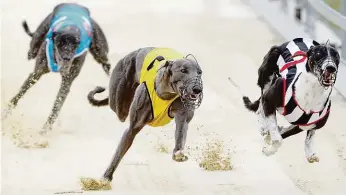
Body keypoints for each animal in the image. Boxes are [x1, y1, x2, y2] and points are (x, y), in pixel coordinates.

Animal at [2, 2, 110, 133]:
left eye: (76, 44)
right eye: (60, 42)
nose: (66, 58)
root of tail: (75, 4)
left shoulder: (67, 82)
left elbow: (57, 106)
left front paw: (44, 130)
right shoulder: (36, 74)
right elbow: (20, 93)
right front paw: (6, 113)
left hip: (100, 51)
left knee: (106, 64)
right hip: (35, 45)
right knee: (31, 52)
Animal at [88, 46, 204, 181]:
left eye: (200, 72)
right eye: (183, 70)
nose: (197, 89)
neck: (166, 93)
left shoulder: (183, 116)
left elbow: (181, 133)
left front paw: (178, 153)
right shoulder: (133, 127)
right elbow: (120, 150)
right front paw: (106, 177)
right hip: (118, 103)